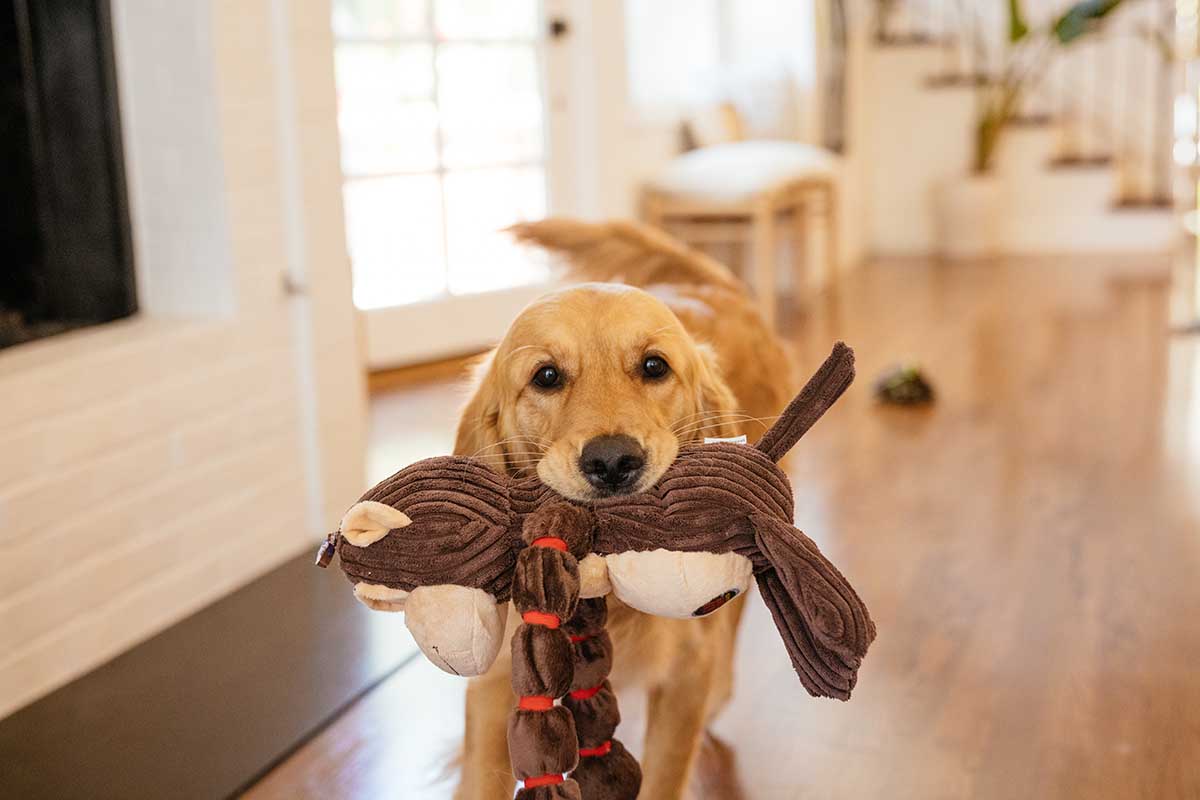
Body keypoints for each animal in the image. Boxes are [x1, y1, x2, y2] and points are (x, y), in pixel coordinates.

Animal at [451, 219, 796, 800]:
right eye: (546, 376)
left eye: (654, 366)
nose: (612, 461)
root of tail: (716, 285)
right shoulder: (494, 686)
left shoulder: (685, 677)